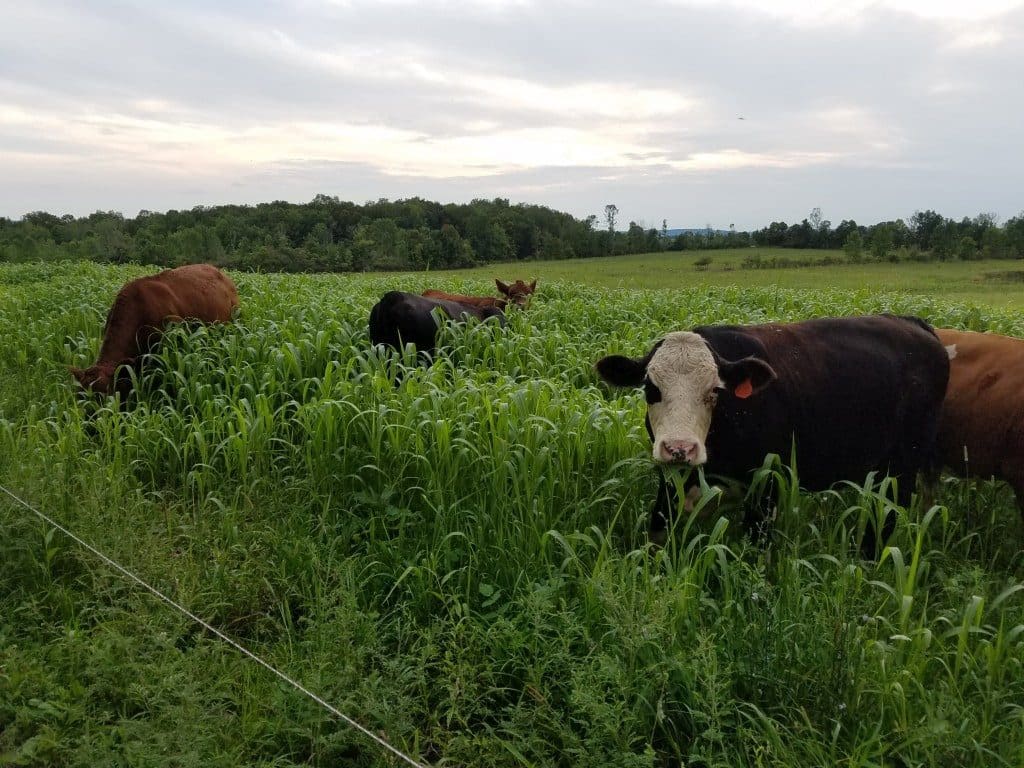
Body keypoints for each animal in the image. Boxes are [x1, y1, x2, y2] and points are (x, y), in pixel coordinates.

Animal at [598, 315, 954, 557]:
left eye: (714, 390)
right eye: (650, 388)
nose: (679, 448)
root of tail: (911, 322)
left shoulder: (767, 485)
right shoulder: (670, 483)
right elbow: (657, 534)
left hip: (902, 469)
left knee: (887, 518)